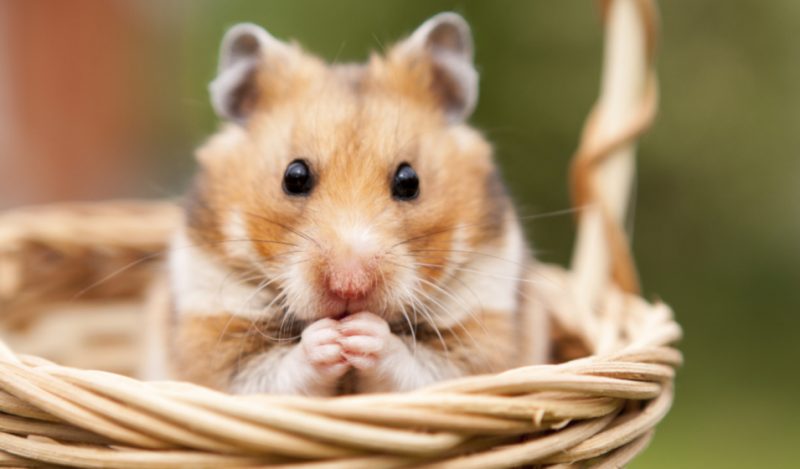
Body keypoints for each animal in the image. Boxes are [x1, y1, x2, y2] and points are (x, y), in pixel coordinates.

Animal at [162, 12, 549, 396]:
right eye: (294, 176)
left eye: (410, 181)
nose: (350, 285)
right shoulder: (213, 336)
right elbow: (271, 374)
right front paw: (331, 339)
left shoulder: (481, 337)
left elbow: (422, 368)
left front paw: (361, 334)